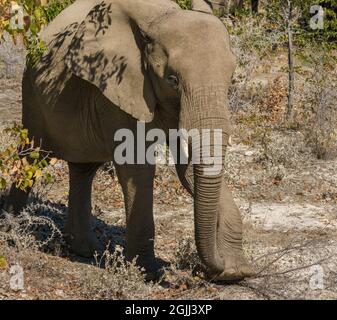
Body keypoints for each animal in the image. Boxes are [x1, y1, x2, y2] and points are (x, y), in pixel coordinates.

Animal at [4, 0, 252, 280]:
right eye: (172, 80)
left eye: (231, 77)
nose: (206, 270)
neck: (160, 19)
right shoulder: (117, 83)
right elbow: (137, 166)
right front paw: (149, 273)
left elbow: (186, 169)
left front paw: (236, 271)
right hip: (31, 93)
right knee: (33, 157)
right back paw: (13, 233)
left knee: (83, 168)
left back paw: (85, 250)